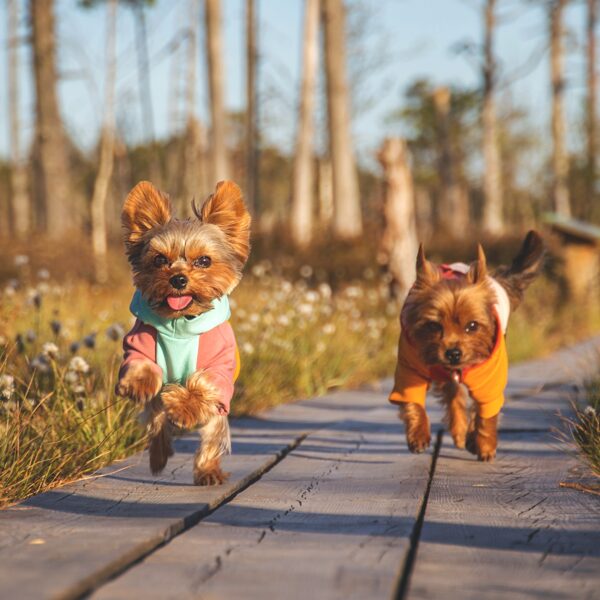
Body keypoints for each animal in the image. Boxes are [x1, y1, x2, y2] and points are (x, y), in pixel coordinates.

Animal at [116, 180, 250, 486]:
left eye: (204, 261)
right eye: (158, 260)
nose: (178, 279)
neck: (180, 325)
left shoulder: (220, 369)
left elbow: (203, 385)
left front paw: (183, 407)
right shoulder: (138, 343)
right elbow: (142, 366)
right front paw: (140, 384)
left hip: (216, 417)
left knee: (211, 436)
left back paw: (208, 471)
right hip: (155, 411)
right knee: (157, 424)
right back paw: (158, 455)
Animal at [390, 232, 544, 462]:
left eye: (472, 326)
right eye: (434, 325)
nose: (453, 353)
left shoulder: (490, 378)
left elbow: (486, 412)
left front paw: (485, 445)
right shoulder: (410, 367)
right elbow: (412, 401)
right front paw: (418, 435)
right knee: (454, 398)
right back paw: (460, 430)